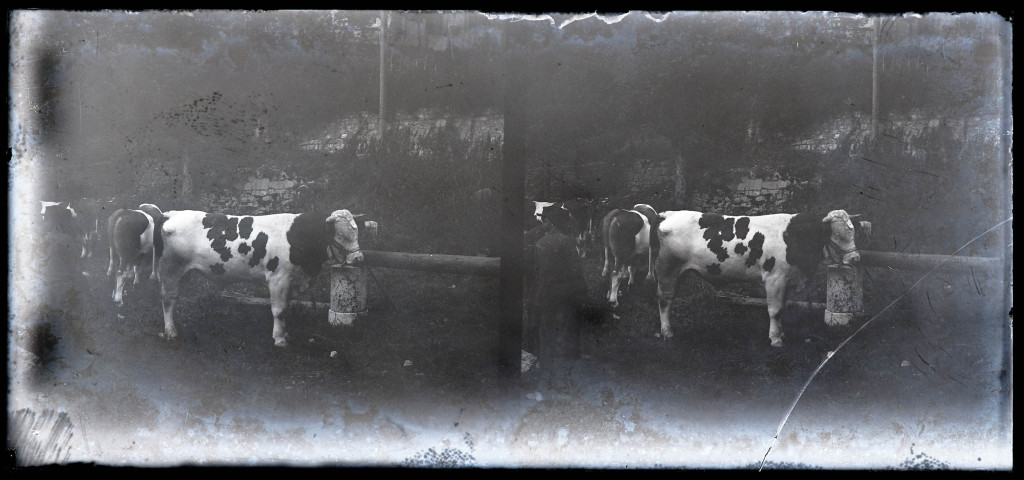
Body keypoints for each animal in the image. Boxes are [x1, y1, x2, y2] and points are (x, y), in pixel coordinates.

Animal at [157, 207, 366, 345]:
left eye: (356, 233)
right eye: (341, 236)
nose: (358, 258)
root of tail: (172, 214)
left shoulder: (291, 280)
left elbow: (285, 309)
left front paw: (285, 334)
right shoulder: (278, 279)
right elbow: (278, 310)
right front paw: (279, 339)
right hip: (170, 269)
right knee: (169, 299)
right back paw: (170, 331)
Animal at [647, 207, 864, 345]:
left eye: (853, 233)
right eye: (837, 235)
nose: (855, 258)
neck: (794, 236)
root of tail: (668, 213)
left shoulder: (786, 280)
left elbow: (782, 308)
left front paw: (781, 334)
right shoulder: (774, 279)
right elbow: (774, 310)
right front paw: (775, 339)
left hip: (680, 272)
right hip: (667, 269)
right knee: (665, 300)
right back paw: (667, 332)